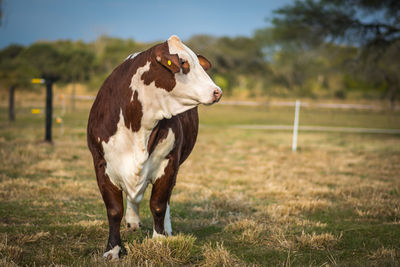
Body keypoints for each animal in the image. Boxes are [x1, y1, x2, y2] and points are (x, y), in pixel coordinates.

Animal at [86, 35, 222, 260]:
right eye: (183, 62)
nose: (217, 91)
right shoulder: (101, 163)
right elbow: (114, 210)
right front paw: (113, 249)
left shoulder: (169, 163)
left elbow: (158, 204)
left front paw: (159, 240)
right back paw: (133, 221)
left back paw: (166, 229)